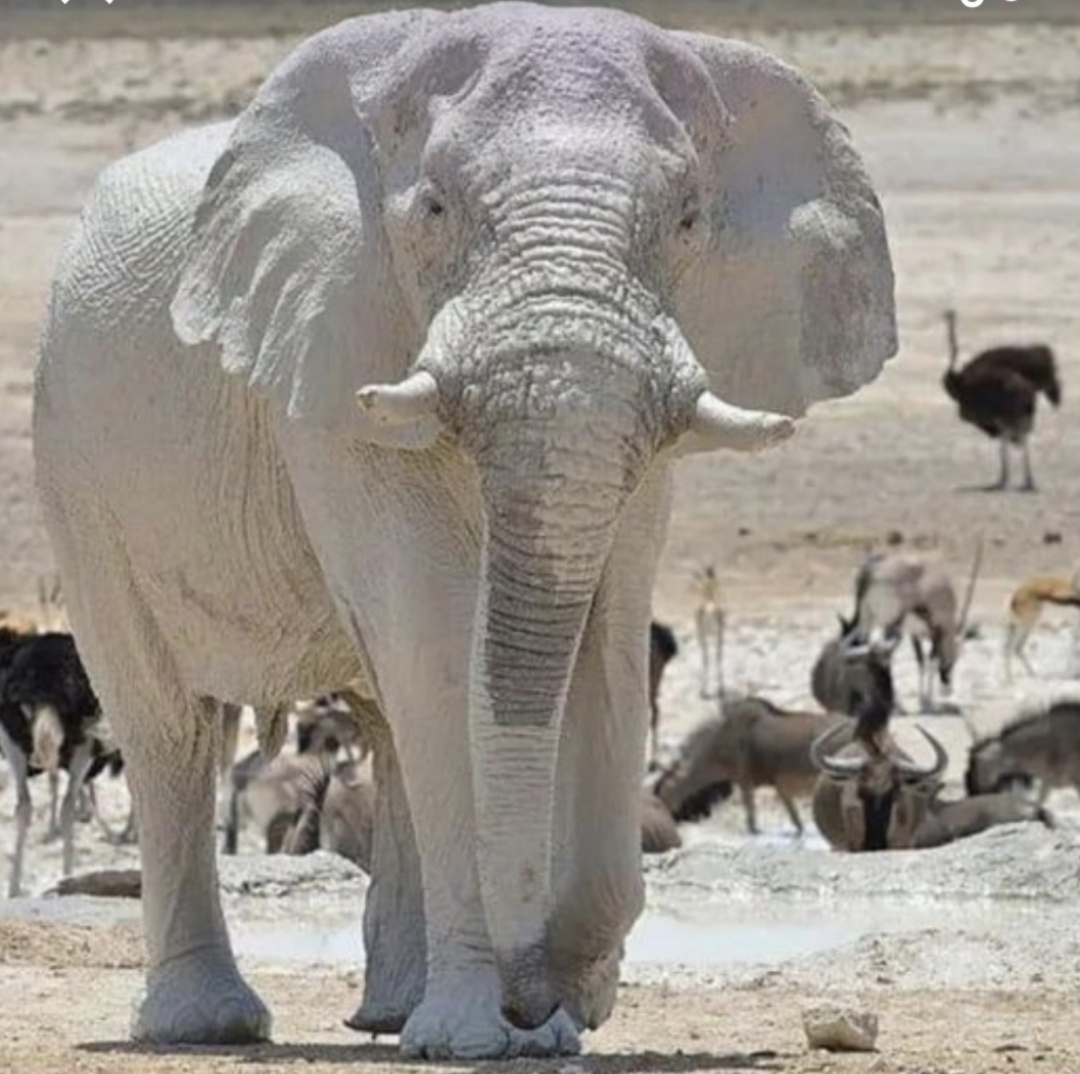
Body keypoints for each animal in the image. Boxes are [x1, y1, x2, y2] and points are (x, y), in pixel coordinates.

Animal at [32, 2, 895, 1060]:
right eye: (435, 209)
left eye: (690, 219)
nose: (539, 998)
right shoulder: (337, 349)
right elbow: (439, 644)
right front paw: (480, 1038)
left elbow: (604, 642)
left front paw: (556, 1014)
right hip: (76, 465)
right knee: (171, 728)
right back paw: (209, 1025)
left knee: (386, 723)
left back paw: (390, 1012)